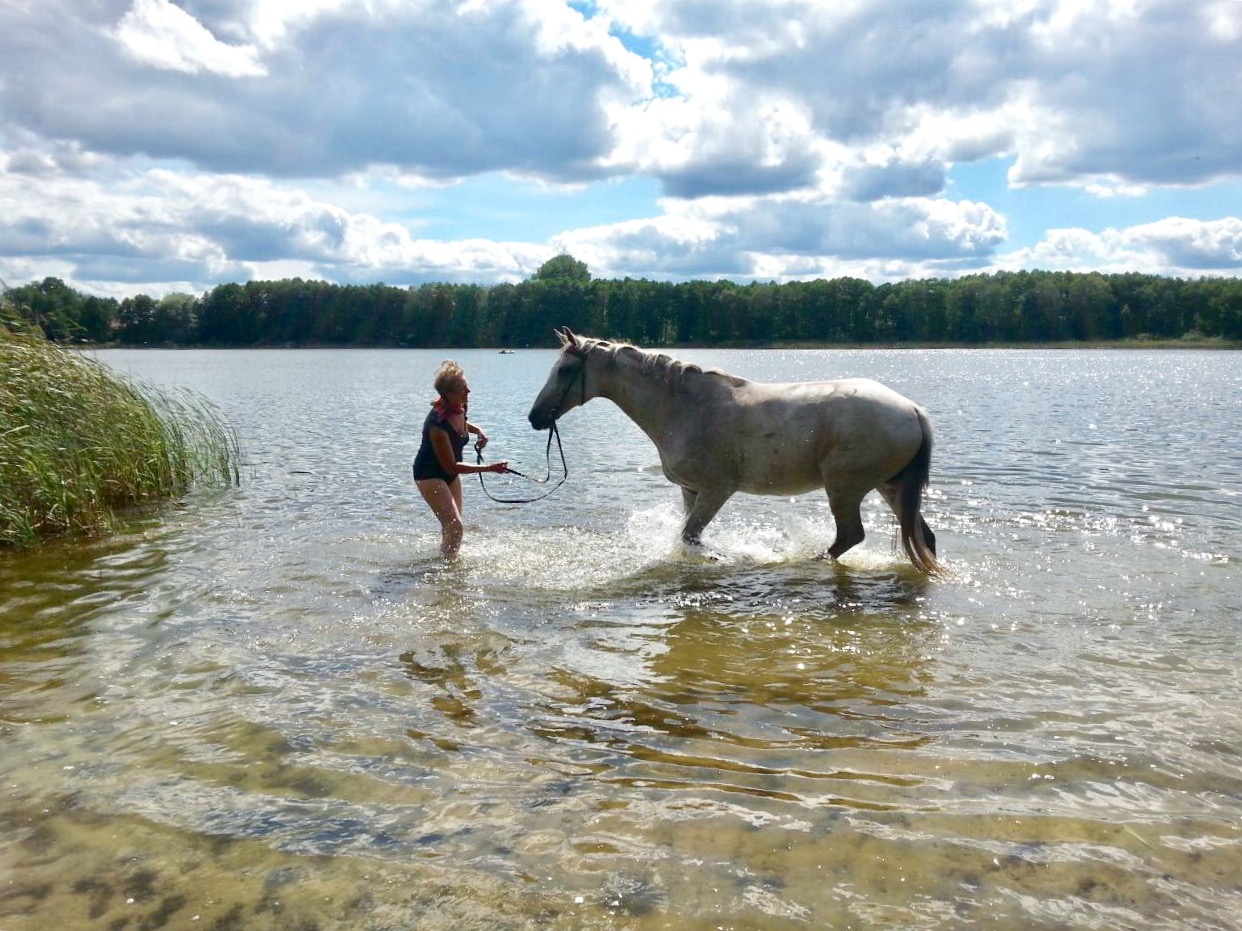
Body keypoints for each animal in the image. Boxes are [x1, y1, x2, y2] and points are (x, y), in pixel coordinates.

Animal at [527, 328, 944, 575]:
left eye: (564, 371)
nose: (534, 418)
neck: (683, 406)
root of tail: (912, 410)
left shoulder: (717, 489)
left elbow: (689, 536)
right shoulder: (691, 490)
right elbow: (688, 537)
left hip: (845, 488)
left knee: (849, 537)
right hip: (888, 487)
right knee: (923, 536)